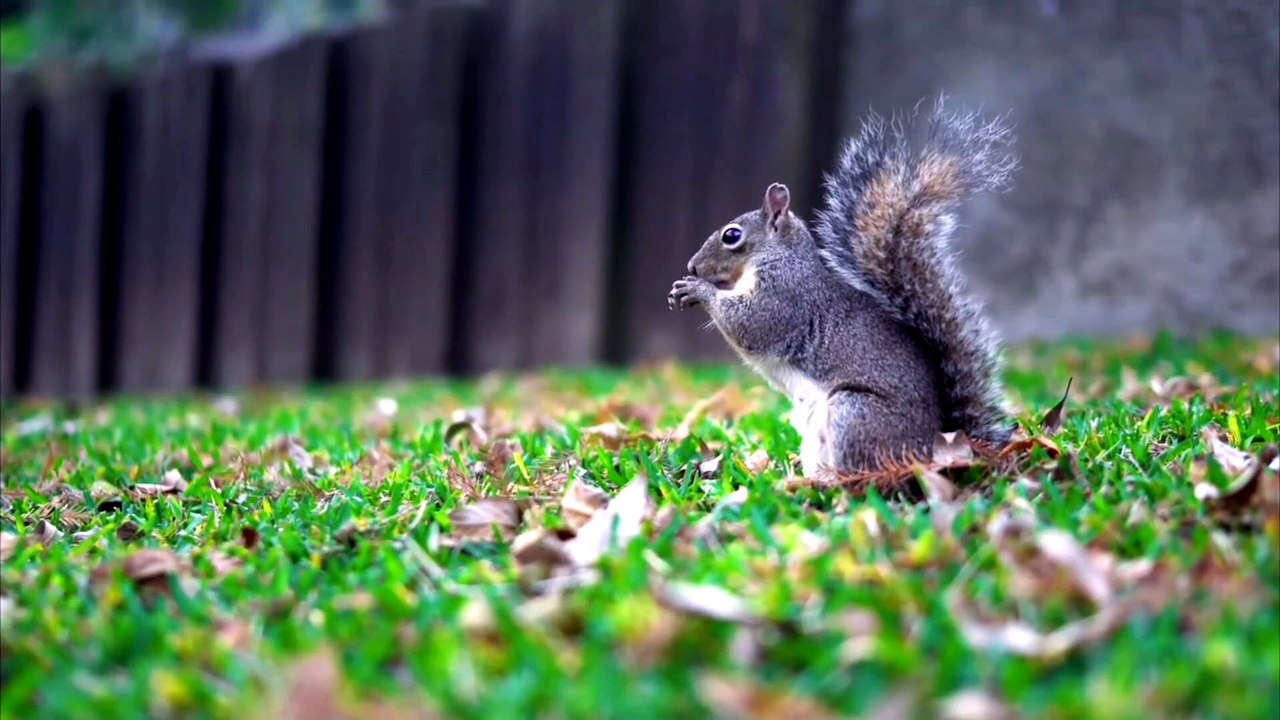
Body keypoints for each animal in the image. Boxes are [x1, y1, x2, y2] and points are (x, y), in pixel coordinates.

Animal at [667, 98, 1017, 476]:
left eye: (732, 236)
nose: (693, 266)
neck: (778, 256)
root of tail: (936, 443)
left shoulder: (786, 294)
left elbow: (751, 322)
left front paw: (697, 289)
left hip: (853, 412)